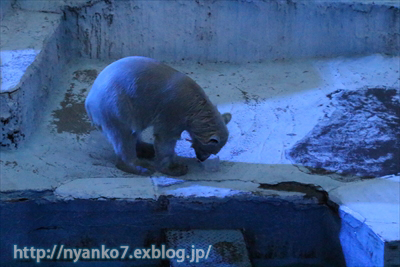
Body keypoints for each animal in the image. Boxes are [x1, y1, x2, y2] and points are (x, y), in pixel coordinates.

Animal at [84, 56, 231, 177]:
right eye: (211, 151)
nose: (201, 158)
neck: (195, 106)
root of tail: (88, 101)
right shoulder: (172, 109)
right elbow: (165, 138)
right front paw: (176, 168)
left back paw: (147, 149)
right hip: (116, 106)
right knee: (124, 134)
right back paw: (141, 166)